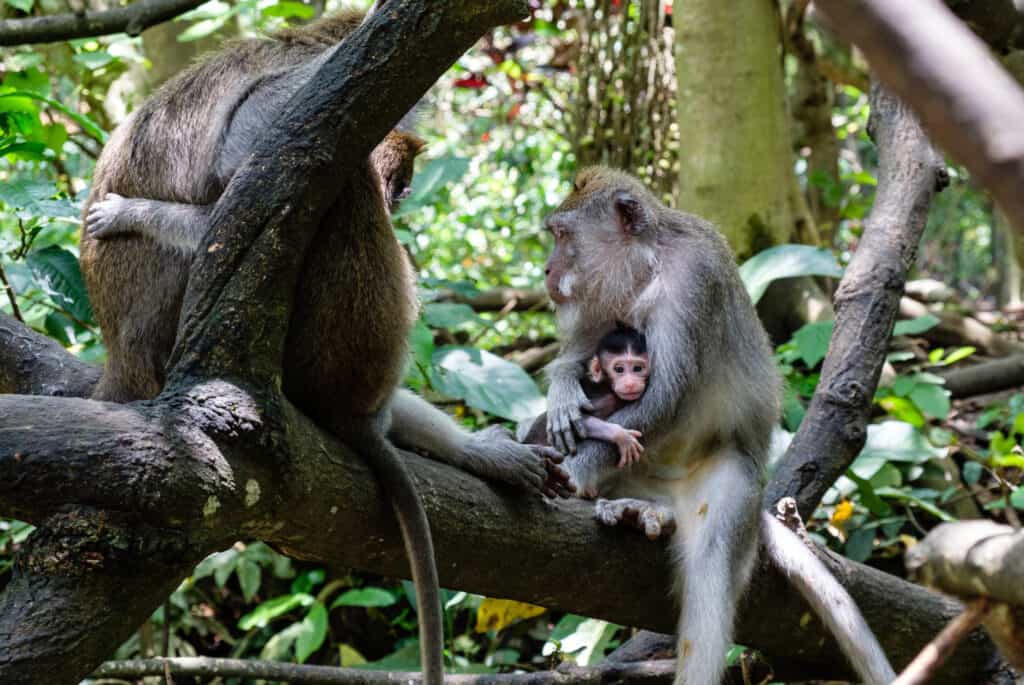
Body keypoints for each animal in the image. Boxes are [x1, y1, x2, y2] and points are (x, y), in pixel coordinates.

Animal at [79, 9, 573, 683]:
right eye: (405, 183)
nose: (401, 198)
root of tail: (121, 359)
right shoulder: (301, 98)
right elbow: (234, 196)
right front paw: (137, 212)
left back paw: (470, 451)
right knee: (336, 187)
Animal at [520, 321, 647, 485]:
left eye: (638, 368)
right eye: (619, 369)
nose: (631, 383)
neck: (607, 387)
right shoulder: (599, 396)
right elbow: (579, 423)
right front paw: (621, 436)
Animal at [540, 165, 892, 683]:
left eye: (563, 236)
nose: (547, 270)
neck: (647, 266)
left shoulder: (693, 283)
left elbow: (667, 396)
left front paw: (575, 468)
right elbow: (586, 353)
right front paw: (563, 388)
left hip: (728, 483)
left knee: (711, 564)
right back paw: (633, 509)